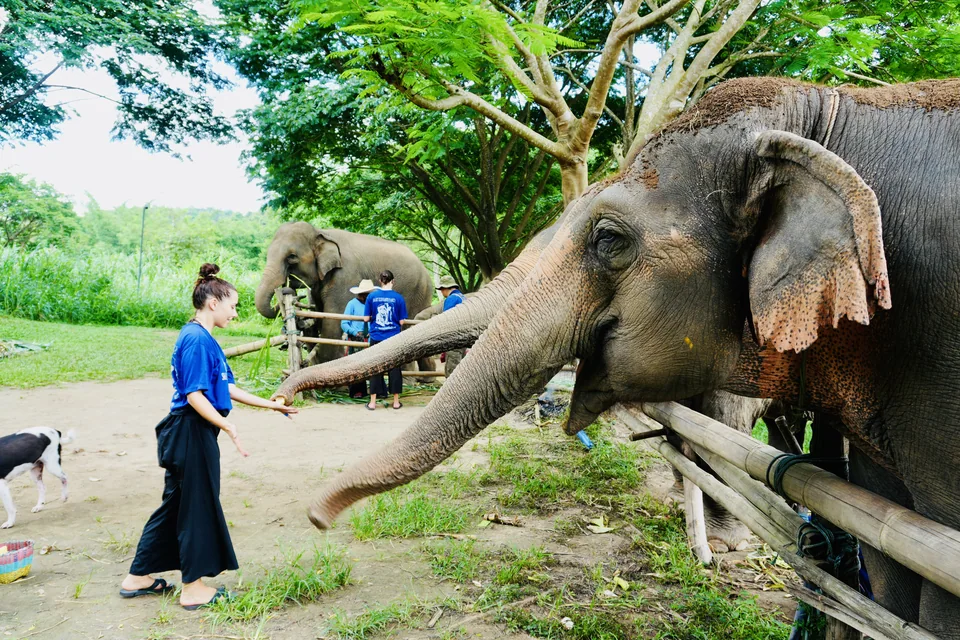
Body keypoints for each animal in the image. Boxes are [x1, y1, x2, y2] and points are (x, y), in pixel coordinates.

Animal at [255, 222, 434, 367]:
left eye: (292, 257)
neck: (321, 232)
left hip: (420, 291)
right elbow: (318, 315)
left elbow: (333, 318)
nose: (287, 289)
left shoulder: (345, 276)